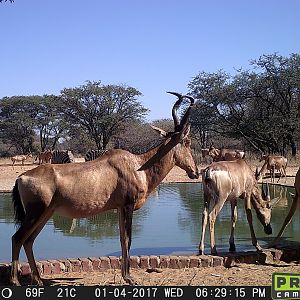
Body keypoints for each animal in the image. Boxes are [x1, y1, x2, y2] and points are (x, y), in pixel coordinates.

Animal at [9, 91, 199, 286]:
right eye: (187, 141)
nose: (195, 172)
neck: (137, 165)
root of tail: (21, 177)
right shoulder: (128, 206)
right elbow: (128, 239)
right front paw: (130, 278)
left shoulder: (120, 208)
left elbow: (122, 239)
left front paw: (125, 276)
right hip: (36, 213)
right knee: (18, 238)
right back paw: (15, 281)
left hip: (46, 214)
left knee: (29, 241)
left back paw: (39, 280)